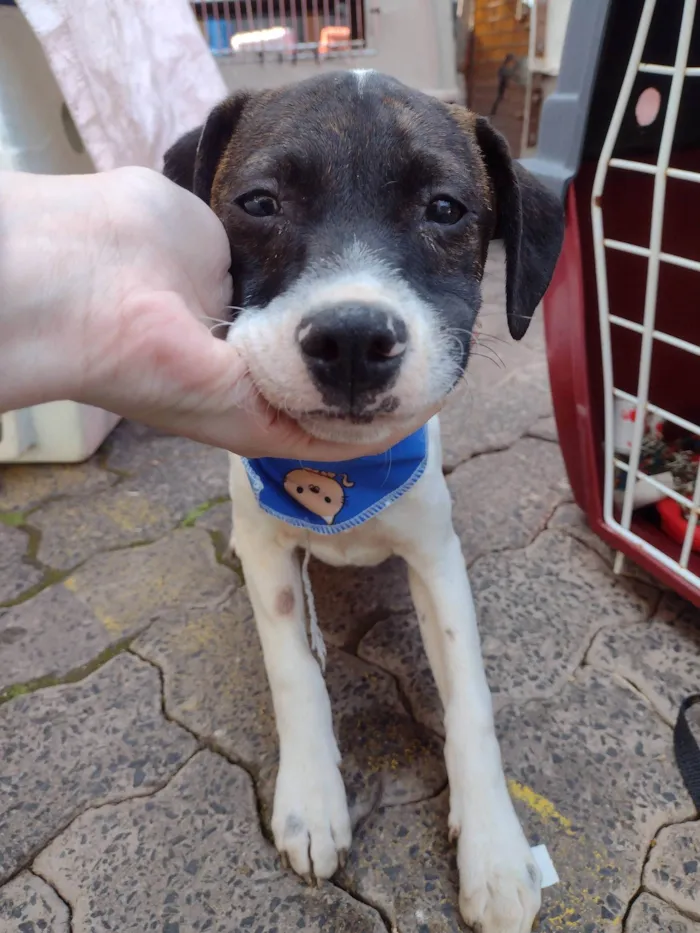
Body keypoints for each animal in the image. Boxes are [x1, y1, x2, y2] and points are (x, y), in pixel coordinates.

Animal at [164, 67, 564, 932]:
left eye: (445, 209)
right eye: (260, 202)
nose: (351, 340)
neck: (342, 474)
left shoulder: (436, 557)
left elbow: (471, 700)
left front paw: (496, 850)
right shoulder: (270, 549)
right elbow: (293, 673)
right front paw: (312, 801)